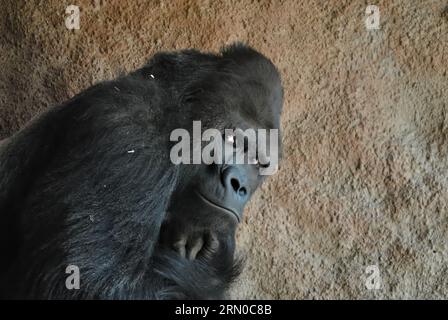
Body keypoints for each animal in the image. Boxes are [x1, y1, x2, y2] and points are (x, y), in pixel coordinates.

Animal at [0, 43, 282, 298]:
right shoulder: (128, 136)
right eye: (232, 140)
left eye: (260, 163)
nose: (239, 185)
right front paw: (213, 269)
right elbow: (82, 284)